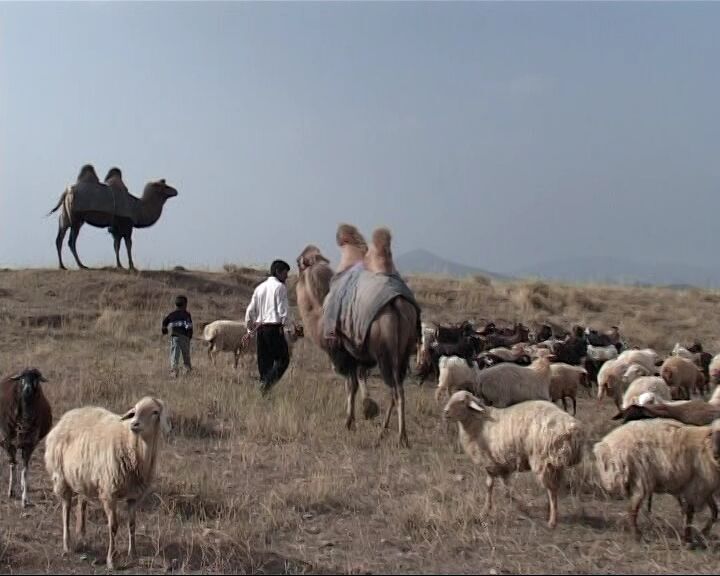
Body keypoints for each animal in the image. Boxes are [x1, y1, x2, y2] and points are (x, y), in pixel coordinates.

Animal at [0, 368, 52, 508]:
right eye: (22, 378)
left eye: (36, 378)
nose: (27, 389)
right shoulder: (8, 442)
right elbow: (13, 465)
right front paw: (11, 491)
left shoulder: (30, 445)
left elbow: (25, 471)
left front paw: (25, 499)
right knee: (13, 464)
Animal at [44, 396, 172, 568]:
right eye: (135, 410)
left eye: (155, 412)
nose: (134, 424)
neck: (133, 446)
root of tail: (68, 415)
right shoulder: (109, 492)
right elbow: (113, 526)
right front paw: (111, 560)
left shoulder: (134, 496)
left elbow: (132, 525)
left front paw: (133, 555)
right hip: (61, 476)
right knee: (66, 509)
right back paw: (67, 544)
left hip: (83, 478)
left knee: (82, 504)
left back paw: (82, 536)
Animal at [444, 390, 584, 528]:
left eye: (462, 401)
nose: (445, 412)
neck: (478, 422)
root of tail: (572, 428)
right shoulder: (502, 464)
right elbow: (506, 485)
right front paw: (514, 501)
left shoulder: (489, 462)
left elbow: (489, 486)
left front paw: (486, 510)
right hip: (554, 462)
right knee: (553, 487)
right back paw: (549, 512)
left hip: (542, 458)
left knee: (551, 490)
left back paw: (552, 520)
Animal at [592, 416, 720, 544]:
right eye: (713, 434)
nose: (716, 455)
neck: (706, 446)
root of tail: (605, 445)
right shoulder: (696, 486)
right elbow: (689, 513)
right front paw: (689, 539)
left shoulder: (706, 488)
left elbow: (714, 511)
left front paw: (702, 534)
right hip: (640, 478)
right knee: (632, 509)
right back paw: (637, 536)